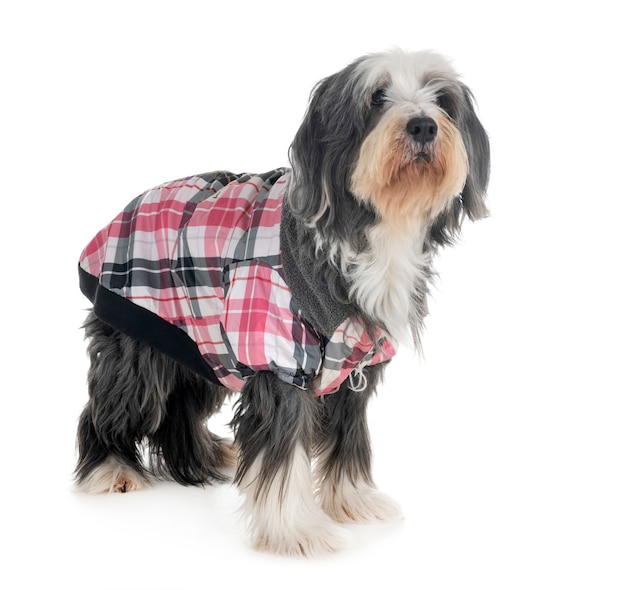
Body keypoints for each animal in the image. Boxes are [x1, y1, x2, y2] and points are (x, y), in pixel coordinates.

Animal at [75, 48, 490, 556]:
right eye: (376, 97)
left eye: (442, 100)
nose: (424, 126)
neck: (366, 233)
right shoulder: (278, 358)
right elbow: (284, 458)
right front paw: (297, 529)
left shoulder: (357, 363)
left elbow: (349, 438)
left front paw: (354, 500)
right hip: (139, 344)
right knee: (111, 405)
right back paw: (109, 467)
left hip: (200, 340)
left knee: (180, 410)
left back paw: (204, 455)